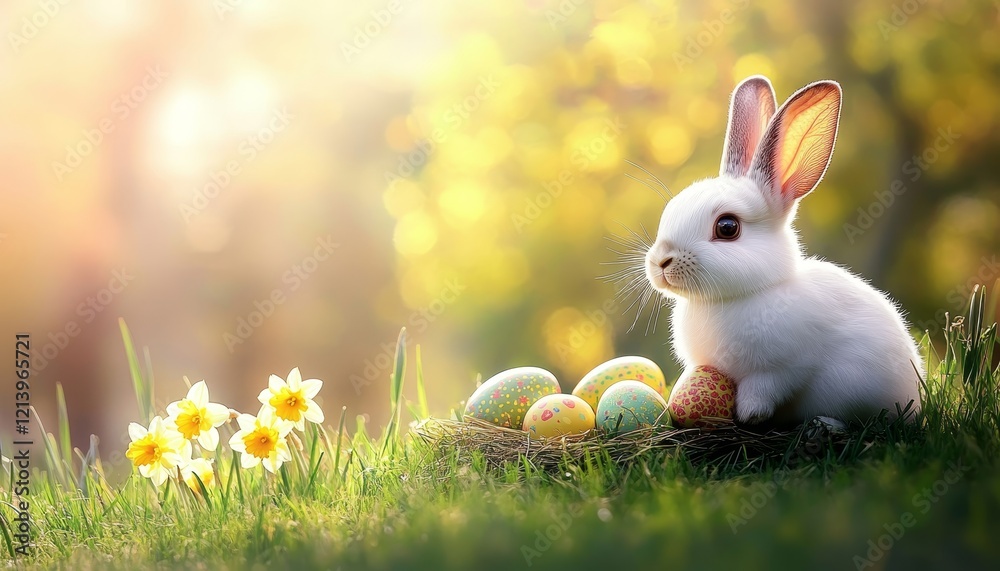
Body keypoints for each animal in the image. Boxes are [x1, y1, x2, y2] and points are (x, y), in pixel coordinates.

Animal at [644, 75, 924, 425]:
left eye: (727, 227)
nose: (660, 261)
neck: (735, 298)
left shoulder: (784, 368)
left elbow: (765, 389)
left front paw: (750, 415)